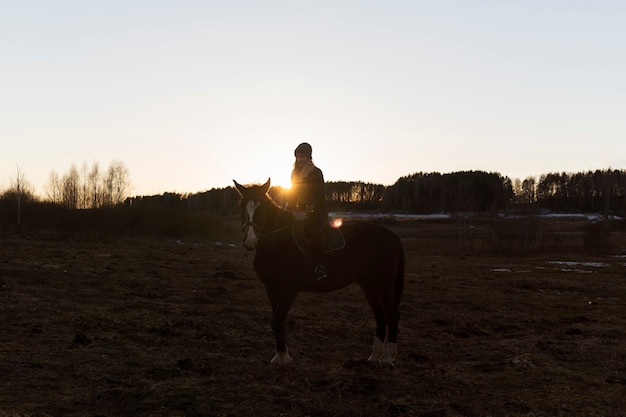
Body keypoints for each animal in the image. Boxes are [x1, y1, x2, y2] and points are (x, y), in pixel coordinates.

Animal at [232, 177, 402, 366]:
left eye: (261, 207)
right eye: (242, 206)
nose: (249, 241)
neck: (276, 242)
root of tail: (389, 235)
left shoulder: (290, 289)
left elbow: (277, 321)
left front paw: (283, 358)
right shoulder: (271, 287)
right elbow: (278, 321)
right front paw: (281, 355)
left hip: (383, 285)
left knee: (391, 314)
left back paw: (387, 358)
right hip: (369, 285)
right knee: (380, 314)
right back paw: (374, 356)